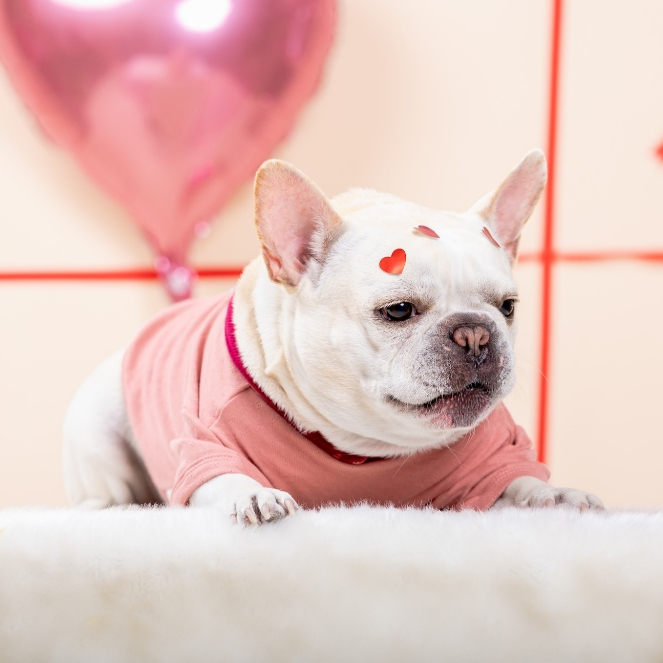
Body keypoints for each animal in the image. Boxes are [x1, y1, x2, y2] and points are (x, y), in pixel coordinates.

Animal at [63, 150, 603, 525]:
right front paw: (253, 494)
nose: (474, 333)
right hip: (97, 430)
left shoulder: (497, 455)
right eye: (398, 310)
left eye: (508, 307)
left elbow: (519, 480)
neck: (363, 446)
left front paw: (556, 495)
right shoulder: (203, 445)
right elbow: (224, 476)